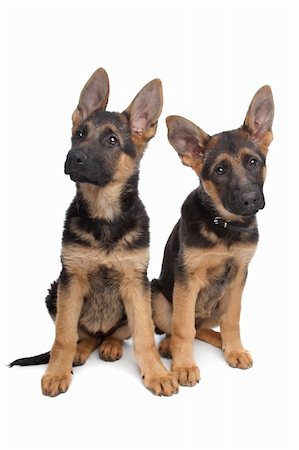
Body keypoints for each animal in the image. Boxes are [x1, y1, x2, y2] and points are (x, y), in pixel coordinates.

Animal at [10, 67, 179, 398]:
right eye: (79, 134)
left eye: (112, 140)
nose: (73, 157)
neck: (105, 217)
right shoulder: (71, 280)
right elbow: (63, 336)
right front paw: (57, 371)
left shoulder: (135, 282)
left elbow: (143, 336)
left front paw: (156, 373)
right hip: (54, 292)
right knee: (82, 334)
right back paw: (82, 349)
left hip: (150, 292)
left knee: (117, 333)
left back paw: (111, 344)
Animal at [152, 87, 274, 386]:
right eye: (220, 170)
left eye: (252, 162)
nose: (250, 200)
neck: (225, 227)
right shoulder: (187, 280)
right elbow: (183, 327)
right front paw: (184, 366)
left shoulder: (239, 275)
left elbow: (232, 320)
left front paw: (235, 350)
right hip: (157, 293)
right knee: (180, 327)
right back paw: (168, 346)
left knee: (203, 328)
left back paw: (222, 342)